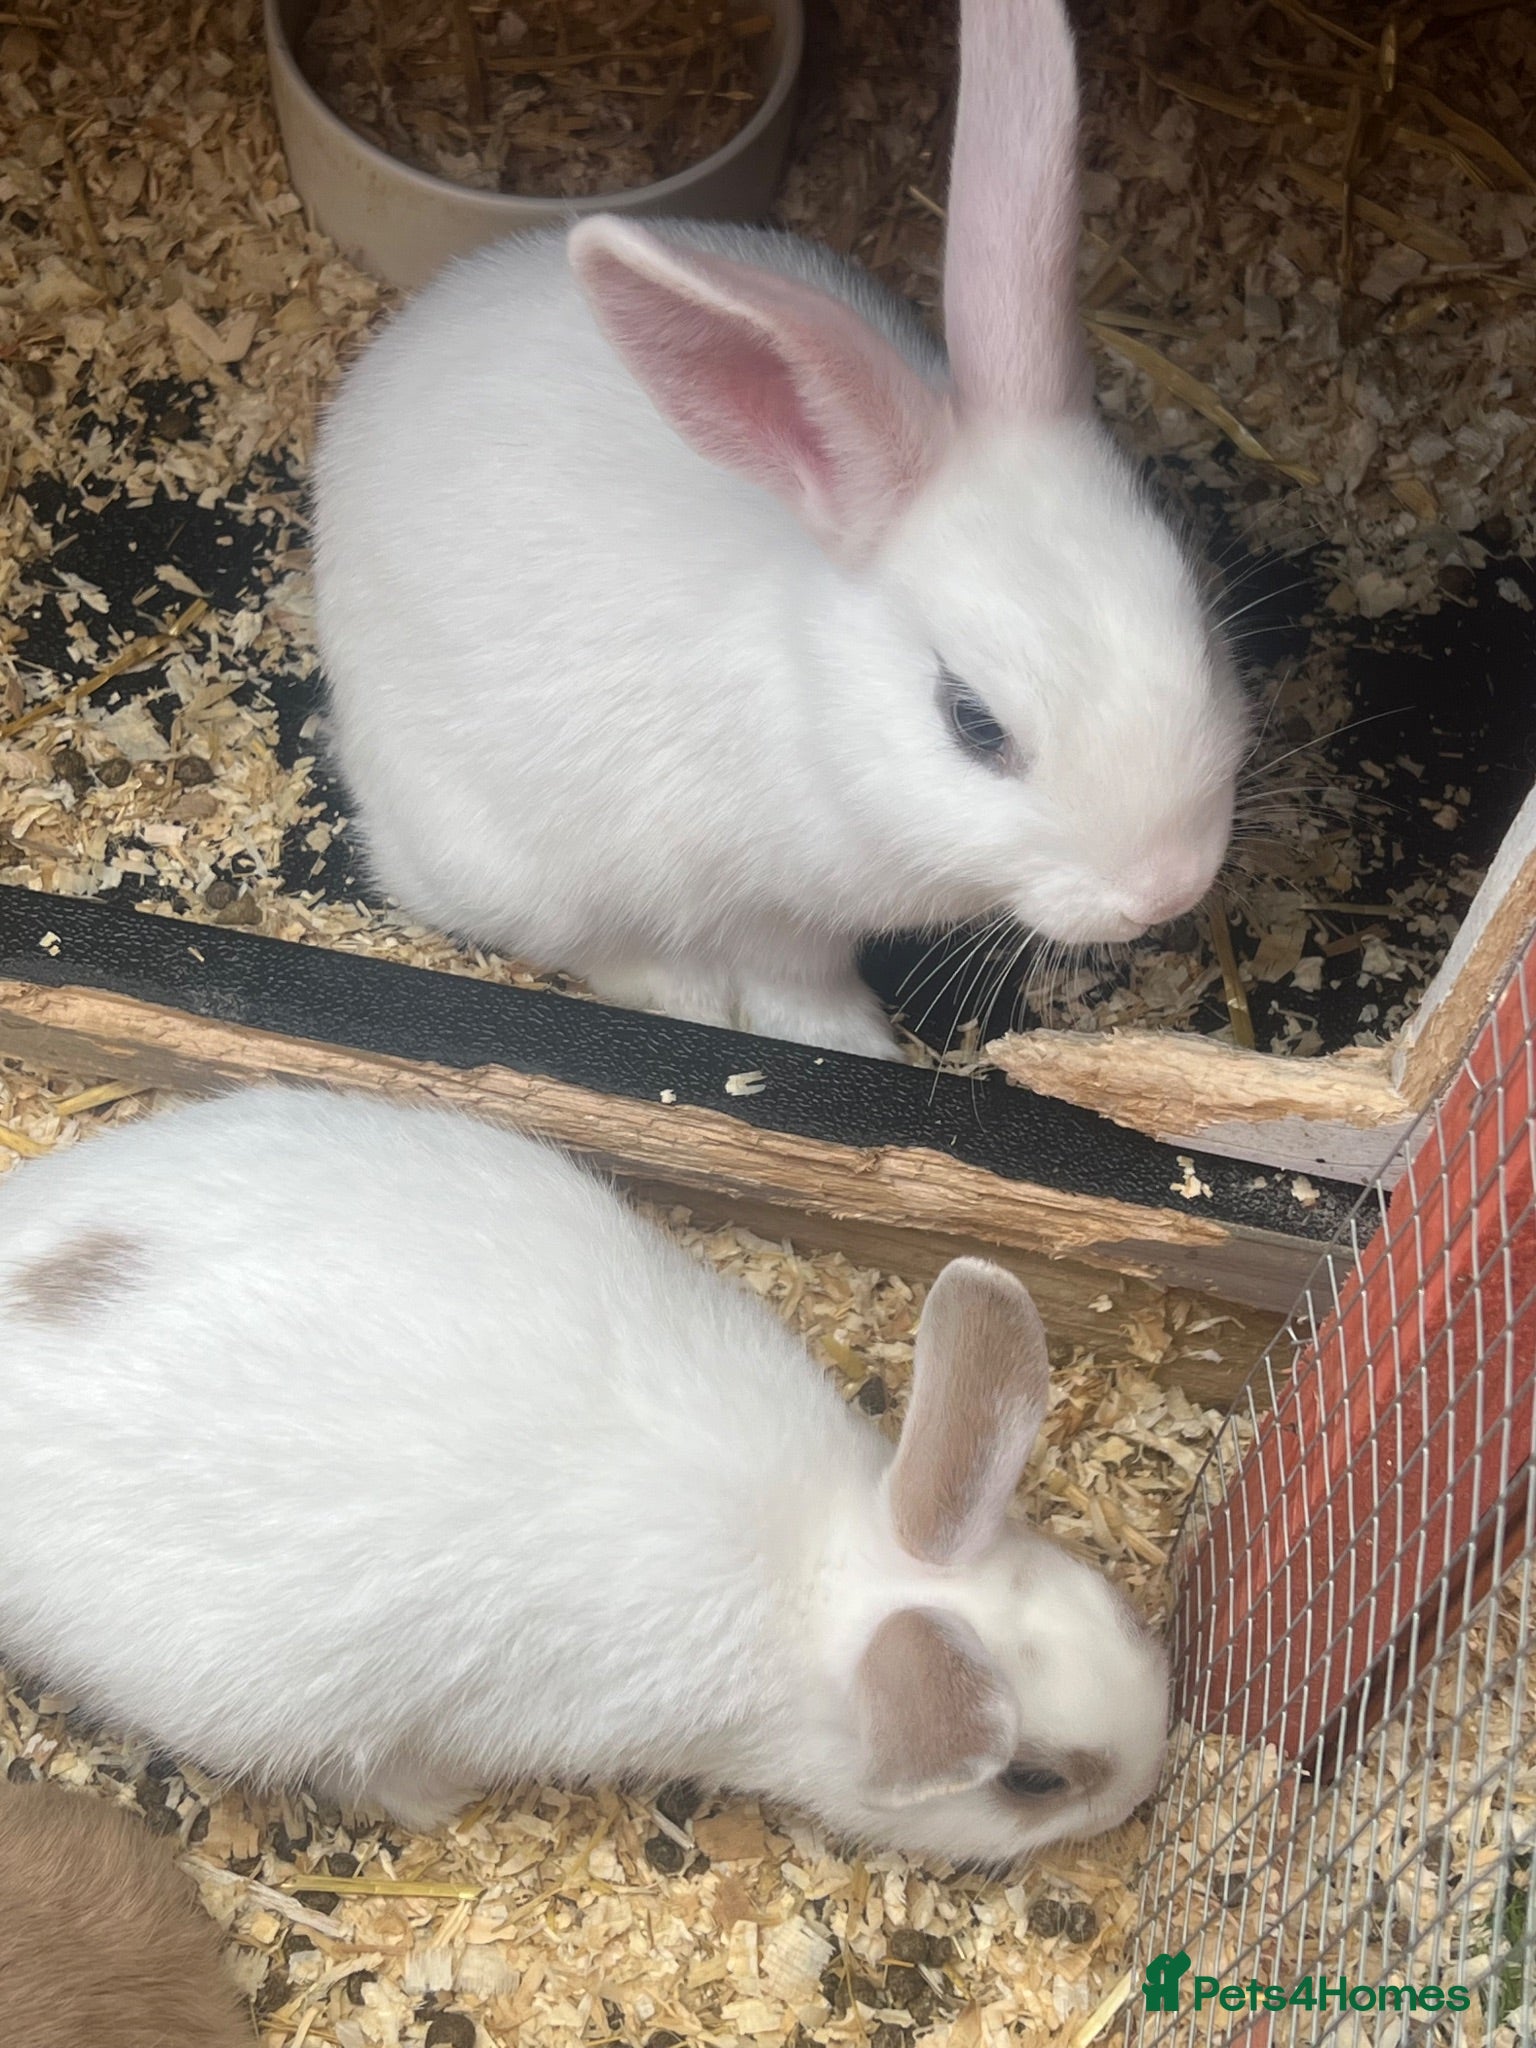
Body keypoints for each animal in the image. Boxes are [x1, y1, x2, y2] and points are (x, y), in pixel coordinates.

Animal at [310, 0, 1245, 1062]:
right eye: (972, 724)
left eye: (1201, 623)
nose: (1166, 886)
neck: (814, 703)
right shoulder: (761, 902)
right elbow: (794, 977)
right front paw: (853, 1044)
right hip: (510, 861)